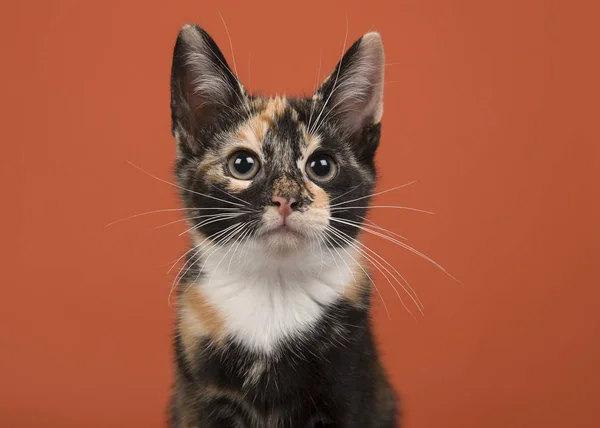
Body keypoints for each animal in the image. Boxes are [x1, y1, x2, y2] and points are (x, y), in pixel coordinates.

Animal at [168, 24, 398, 428]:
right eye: (242, 164)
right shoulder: (198, 395)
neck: (274, 290)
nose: (287, 198)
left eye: (321, 166)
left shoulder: (351, 387)